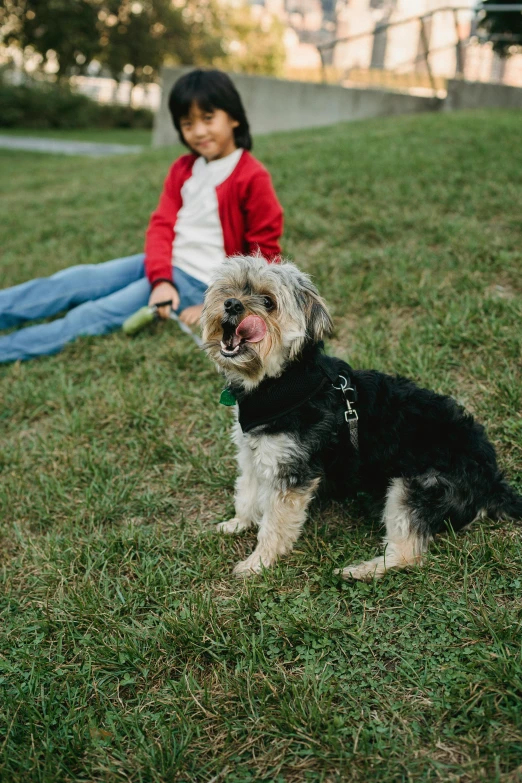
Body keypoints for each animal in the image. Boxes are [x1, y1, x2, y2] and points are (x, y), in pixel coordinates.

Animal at [200, 254, 520, 580]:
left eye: (268, 301)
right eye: (230, 288)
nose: (231, 304)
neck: (278, 382)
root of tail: (492, 481)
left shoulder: (291, 473)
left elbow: (274, 524)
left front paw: (258, 562)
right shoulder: (253, 453)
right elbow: (248, 493)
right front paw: (237, 523)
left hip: (415, 488)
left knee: (408, 554)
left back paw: (358, 571)